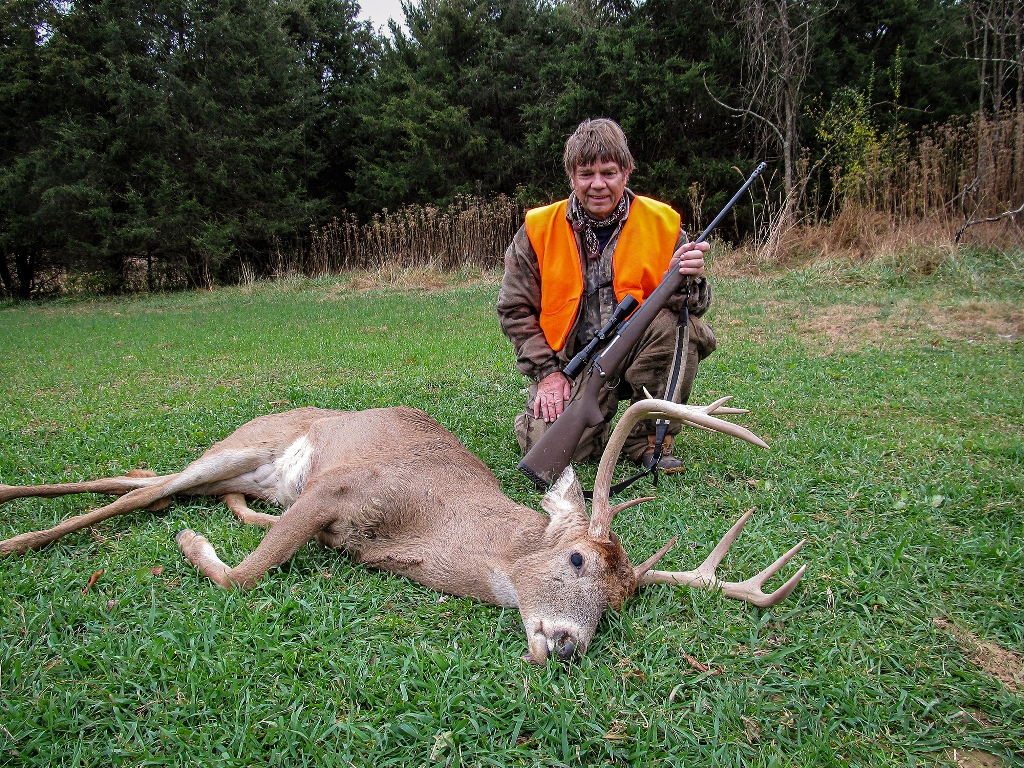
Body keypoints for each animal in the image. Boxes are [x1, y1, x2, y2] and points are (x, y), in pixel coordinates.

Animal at [0, 397, 806, 663]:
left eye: (617, 606)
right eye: (578, 560)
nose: (568, 646)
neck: (428, 524)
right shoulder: (340, 488)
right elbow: (242, 575)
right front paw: (193, 548)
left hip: (247, 473)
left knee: (147, 483)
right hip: (246, 446)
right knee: (145, 489)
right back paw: (16, 531)